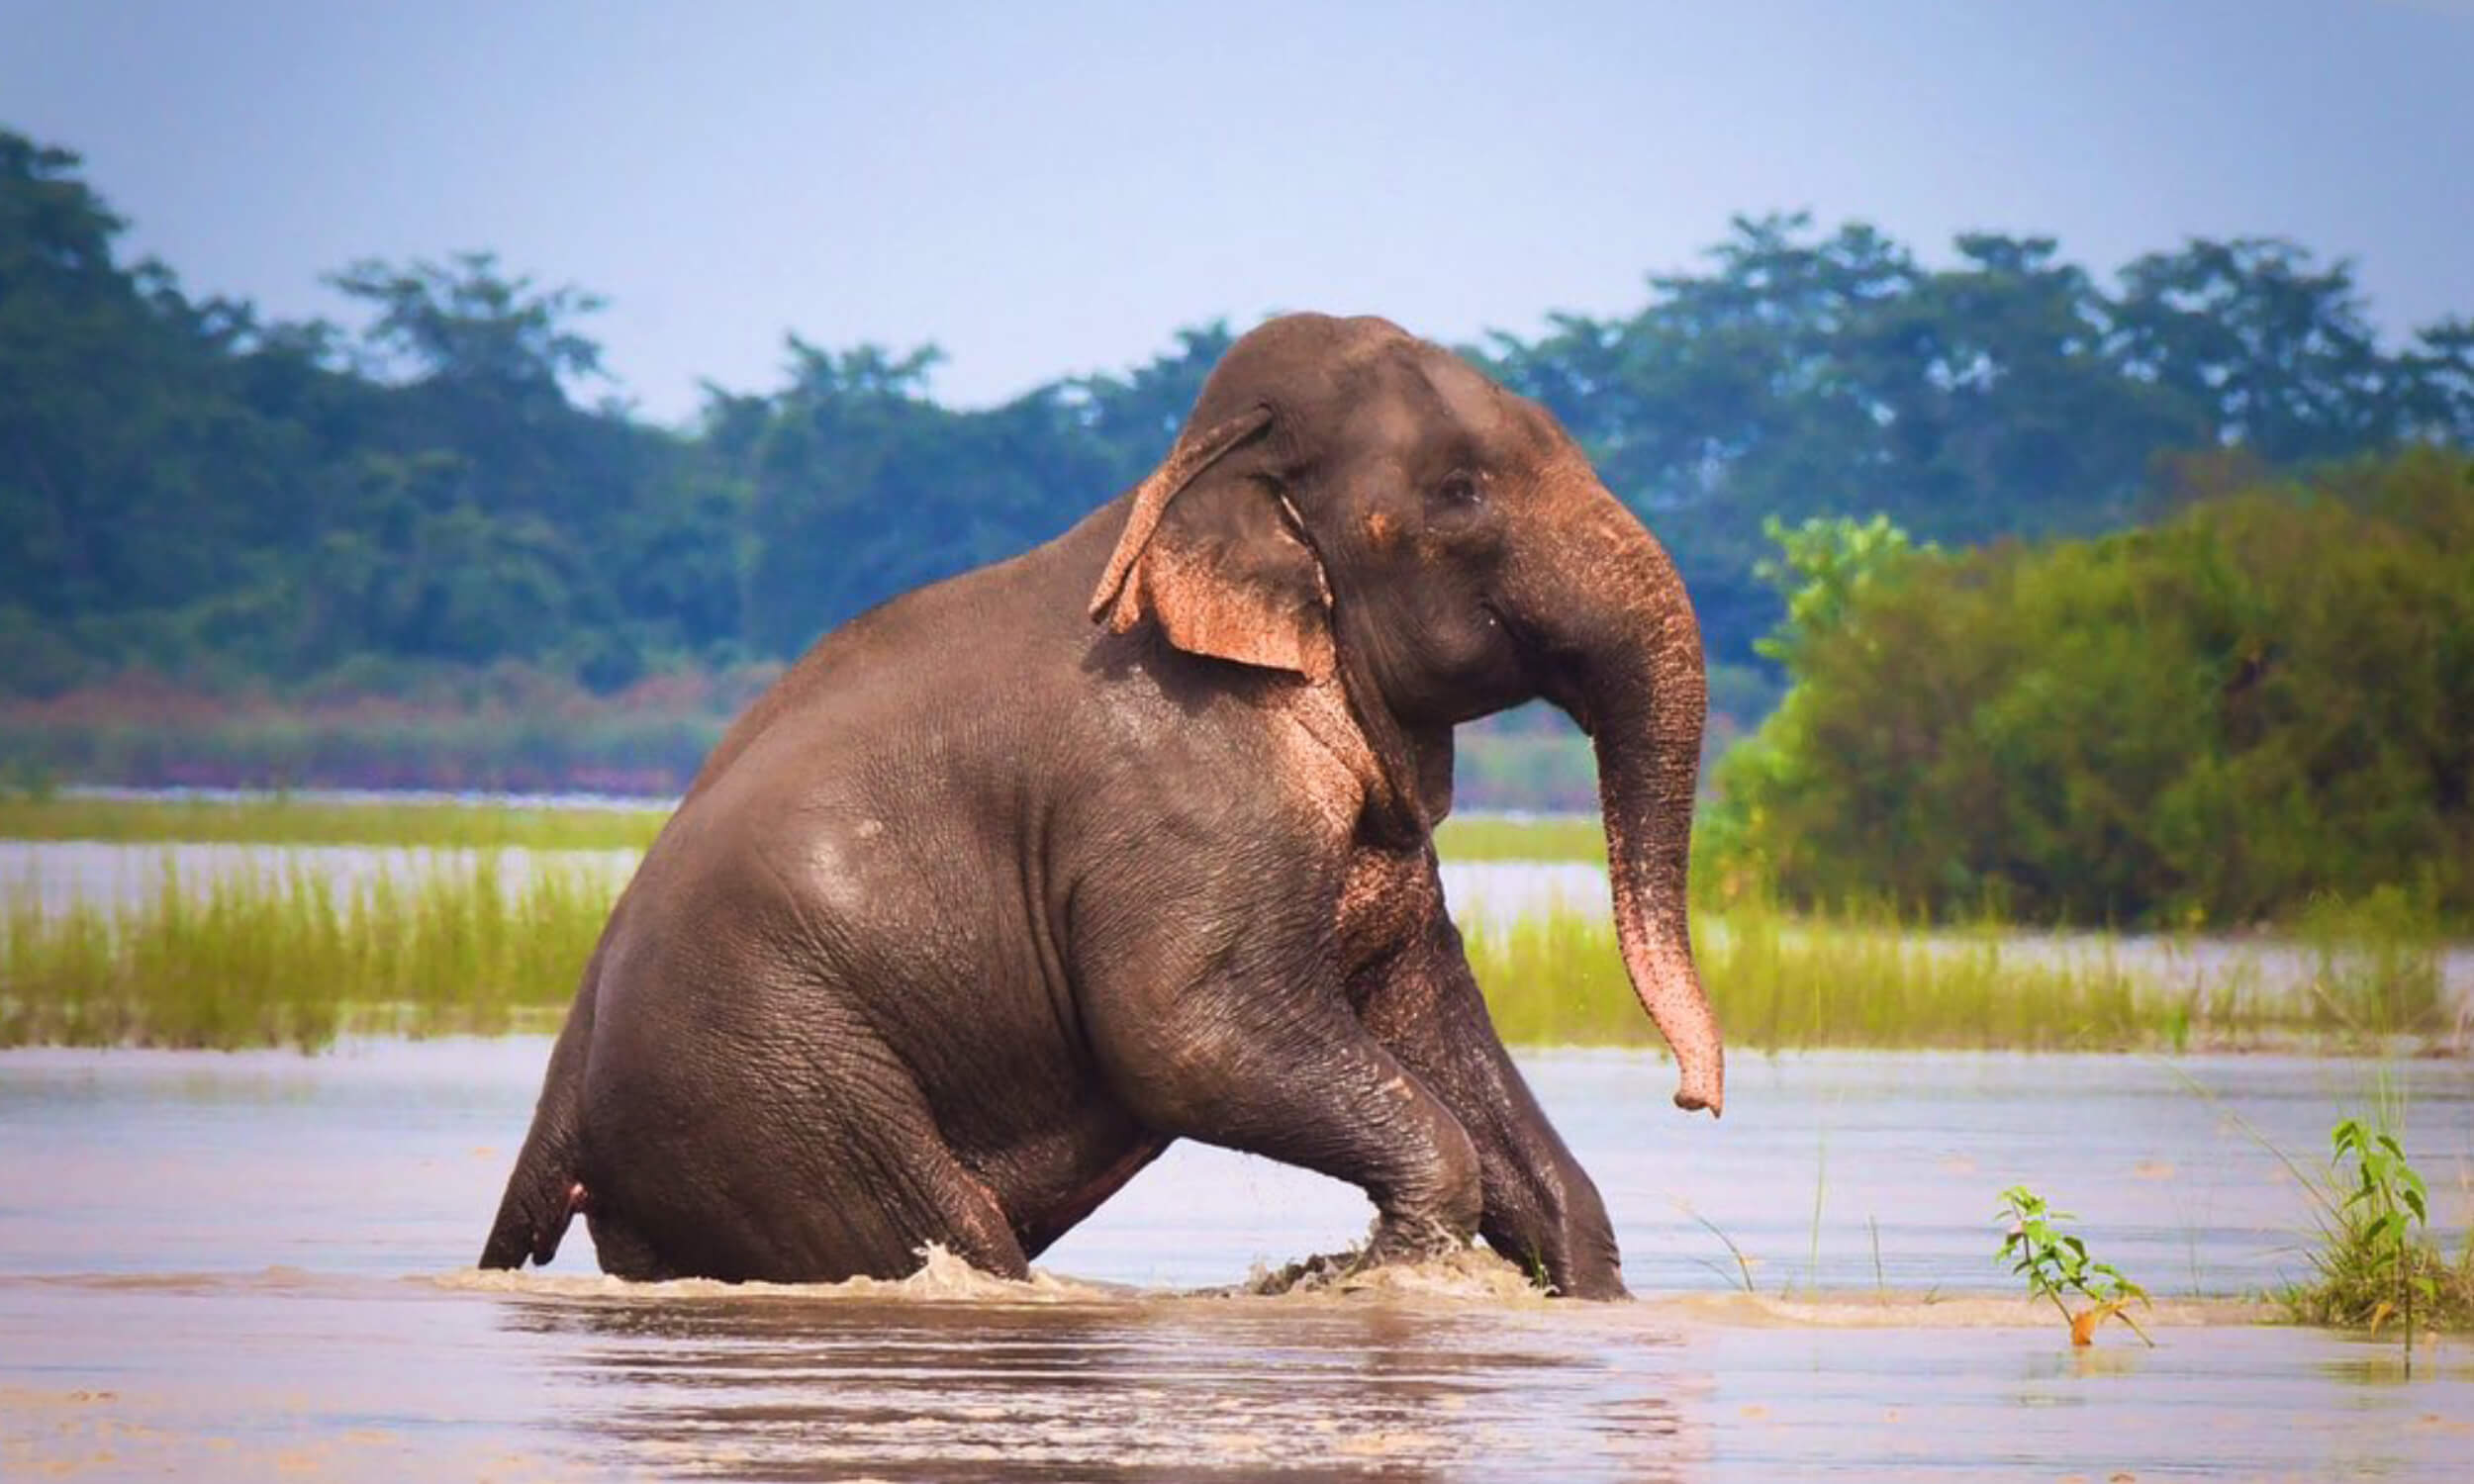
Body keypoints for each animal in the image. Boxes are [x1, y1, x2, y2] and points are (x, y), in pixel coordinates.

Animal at [479, 312, 1722, 1300]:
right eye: (1460, 494)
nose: (1692, 1103)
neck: (1183, 481)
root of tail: (558, 1096)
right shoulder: (1184, 793)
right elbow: (1184, 1036)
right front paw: (1370, 1274)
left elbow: (1428, 1020)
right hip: (771, 1090)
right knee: (924, 1234)